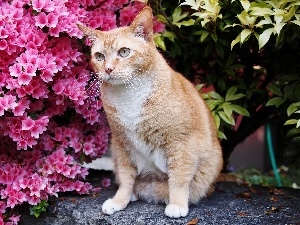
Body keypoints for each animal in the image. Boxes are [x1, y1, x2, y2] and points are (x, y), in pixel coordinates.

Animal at [77, 6, 223, 218]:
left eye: (124, 52)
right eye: (99, 56)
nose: (108, 69)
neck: (128, 94)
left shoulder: (180, 143)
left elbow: (179, 178)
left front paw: (177, 204)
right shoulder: (122, 144)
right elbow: (126, 179)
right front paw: (119, 201)